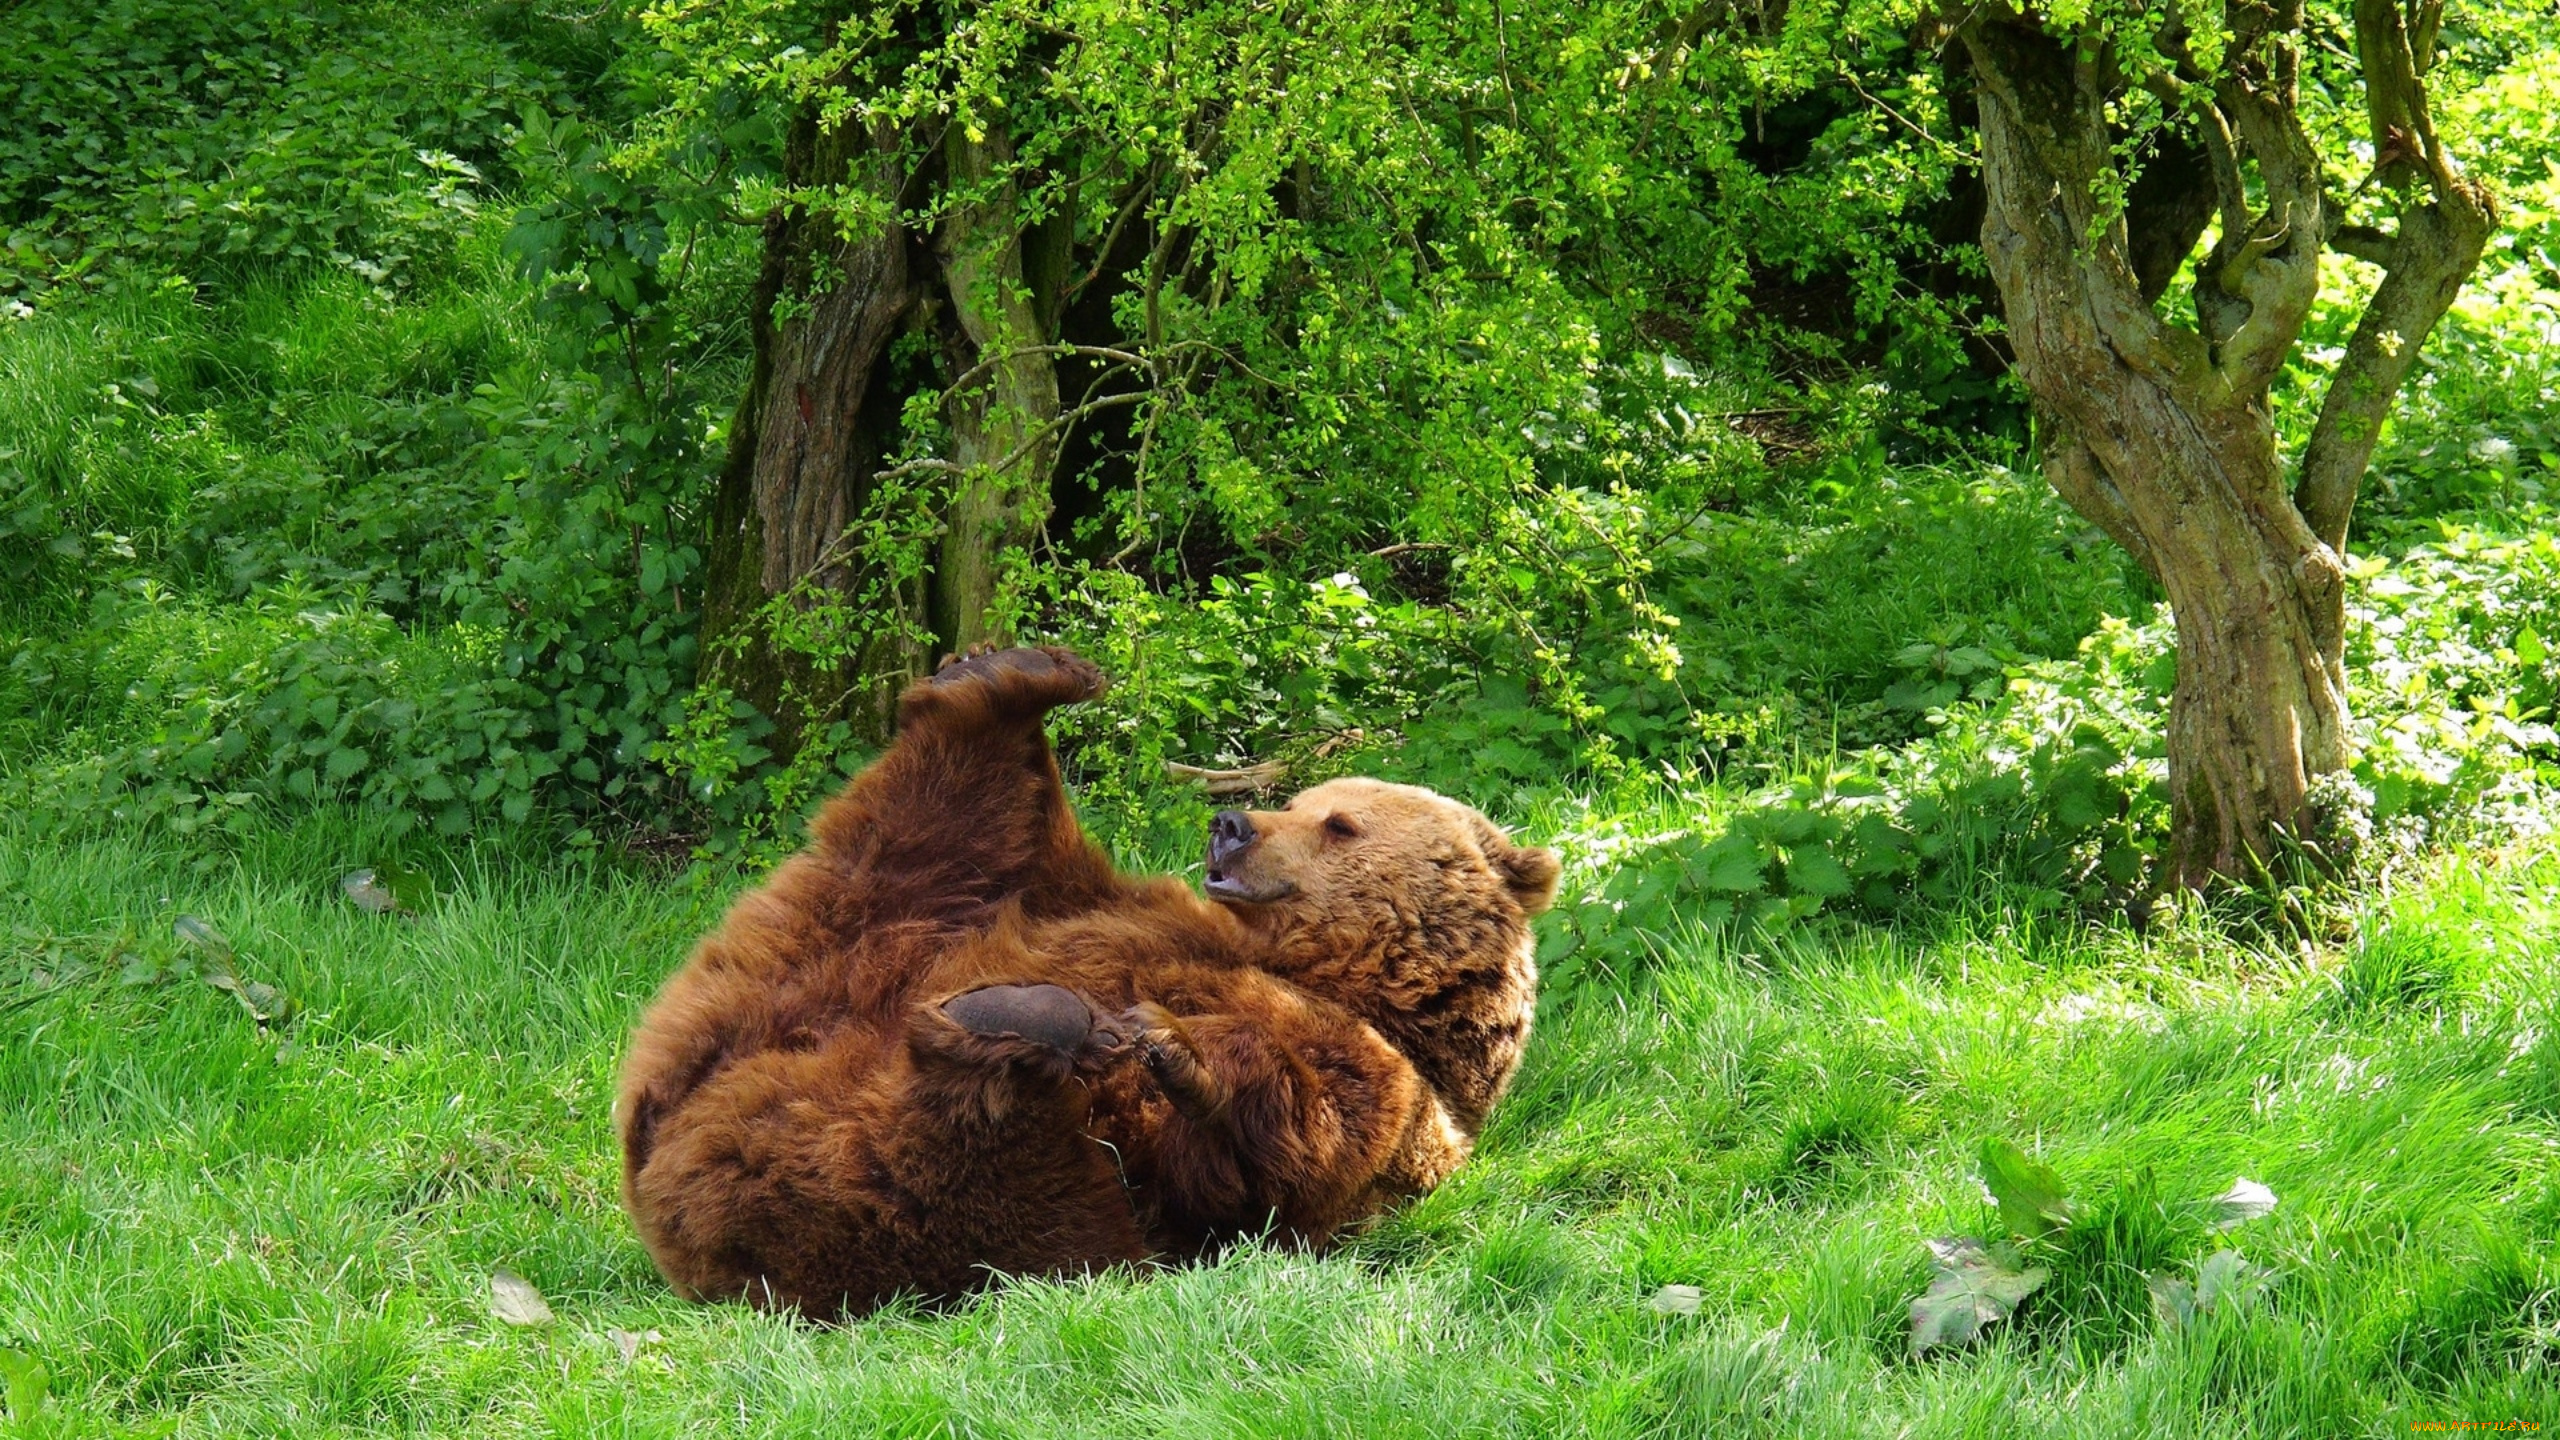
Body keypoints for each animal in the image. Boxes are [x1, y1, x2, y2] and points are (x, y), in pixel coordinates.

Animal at [614, 645, 1556, 1322]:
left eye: (1339, 824)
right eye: (1299, 800)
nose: (1231, 823)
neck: (1334, 972)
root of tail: (663, 1164)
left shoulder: (1388, 1095)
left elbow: (1287, 1144)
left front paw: (1175, 1045)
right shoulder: (1125, 904)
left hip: (991, 1211)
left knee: (948, 1155)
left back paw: (1022, 1025)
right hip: (852, 945)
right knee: (935, 834)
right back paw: (1002, 681)